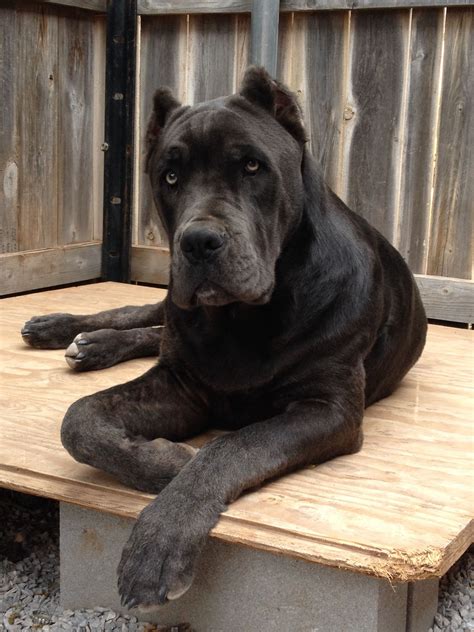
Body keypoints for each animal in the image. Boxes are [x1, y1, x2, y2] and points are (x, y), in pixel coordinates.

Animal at [20, 68, 428, 608]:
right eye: (170, 177)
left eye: (252, 166)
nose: (198, 241)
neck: (241, 320)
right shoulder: (181, 384)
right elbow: (79, 420)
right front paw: (166, 461)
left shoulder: (327, 409)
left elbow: (230, 448)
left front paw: (161, 536)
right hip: (170, 301)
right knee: (141, 315)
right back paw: (67, 332)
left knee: (153, 331)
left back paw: (90, 344)